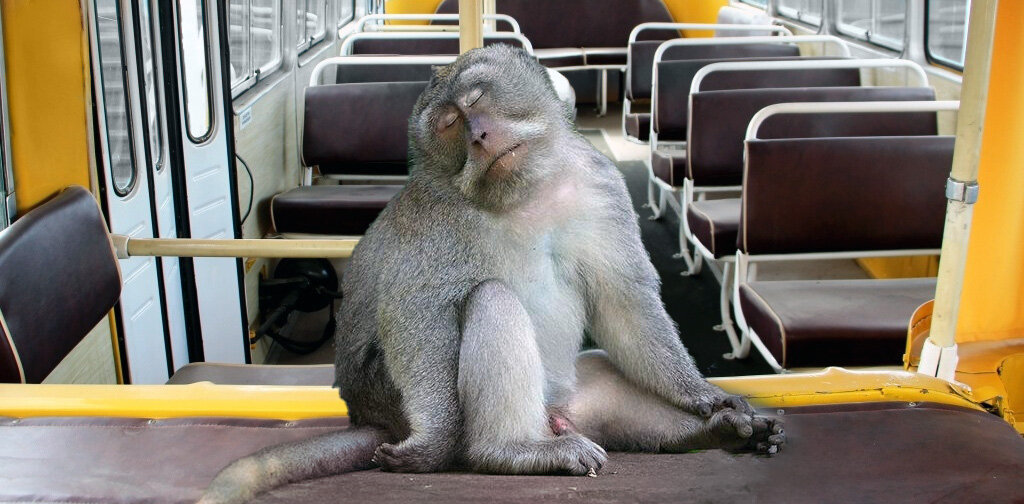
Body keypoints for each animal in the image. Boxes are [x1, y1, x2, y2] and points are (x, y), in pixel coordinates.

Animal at [199, 44, 782, 504]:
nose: (479, 135)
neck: (525, 194)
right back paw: (508, 451)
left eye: (477, 101)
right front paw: (434, 442)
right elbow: (420, 315)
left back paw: (719, 433)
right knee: (491, 300)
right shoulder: (436, 215)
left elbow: (622, 300)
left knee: (604, 374)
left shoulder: (599, 183)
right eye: (449, 125)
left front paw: (706, 398)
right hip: (395, 397)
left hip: (571, 397)